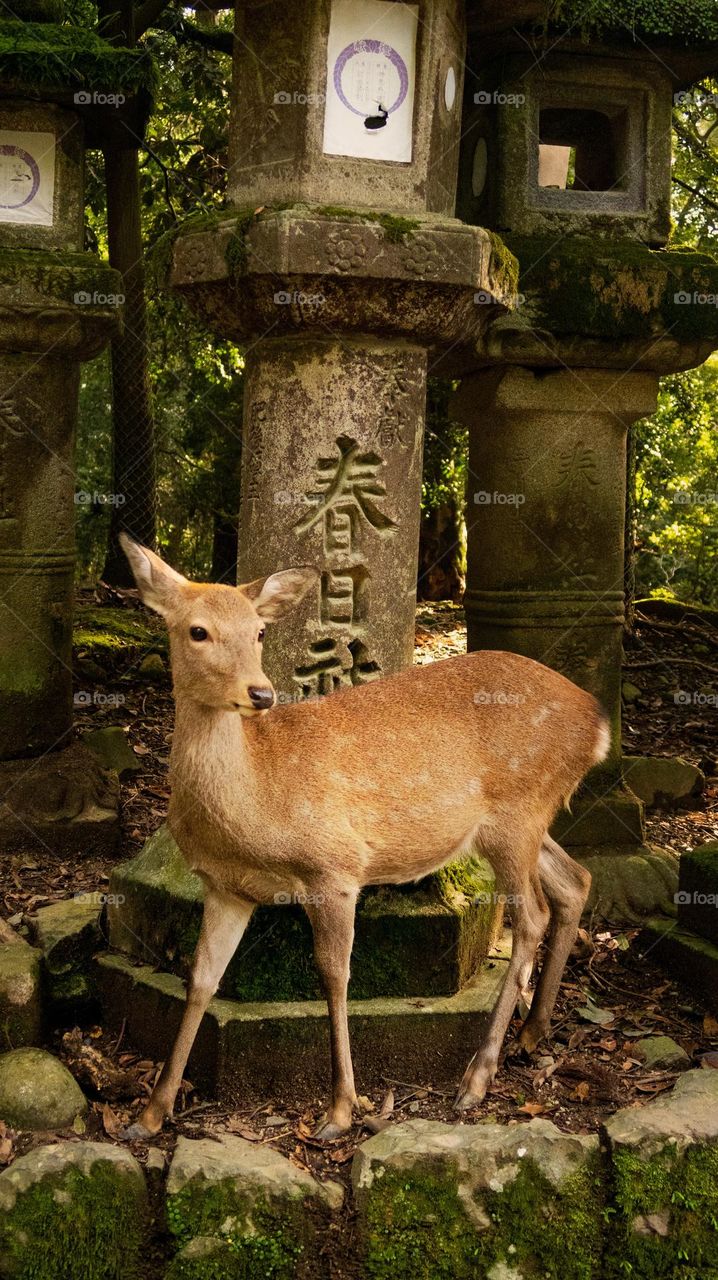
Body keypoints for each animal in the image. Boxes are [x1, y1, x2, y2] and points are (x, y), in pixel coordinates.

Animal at [119, 533, 608, 1141]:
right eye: (198, 631)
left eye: (259, 631)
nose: (260, 693)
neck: (254, 801)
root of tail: (598, 724)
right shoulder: (227, 887)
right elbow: (202, 980)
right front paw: (150, 1114)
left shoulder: (335, 866)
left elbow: (334, 976)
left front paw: (340, 1109)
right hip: (518, 820)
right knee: (575, 879)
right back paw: (532, 1032)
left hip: (518, 809)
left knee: (533, 916)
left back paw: (477, 1078)